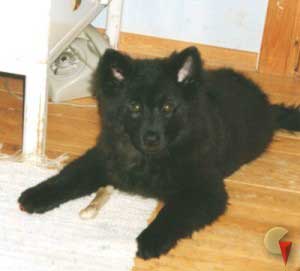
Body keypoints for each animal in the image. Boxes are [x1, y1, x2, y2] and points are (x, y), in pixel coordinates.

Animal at [18, 46, 300, 260]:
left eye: (167, 107)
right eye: (134, 106)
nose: (151, 138)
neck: (151, 158)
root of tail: (267, 105)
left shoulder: (206, 190)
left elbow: (173, 213)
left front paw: (151, 239)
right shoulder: (102, 158)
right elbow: (68, 177)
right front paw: (36, 195)